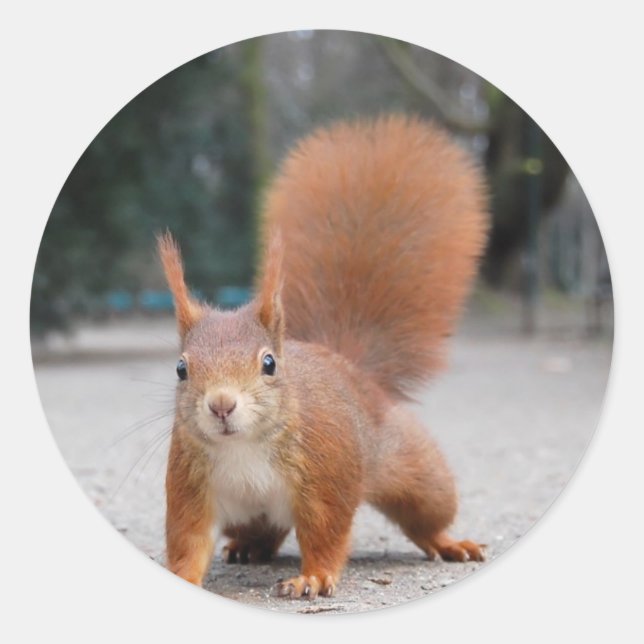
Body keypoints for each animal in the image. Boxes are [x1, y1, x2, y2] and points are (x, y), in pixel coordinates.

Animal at [158, 114, 489, 599]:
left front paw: (312, 577)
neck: (244, 447)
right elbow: (189, 537)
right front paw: (180, 576)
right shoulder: (189, 484)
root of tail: (348, 366)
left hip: (416, 470)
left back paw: (449, 542)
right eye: (181, 368)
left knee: (427, 514)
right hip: (248, 514)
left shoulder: (326, 473)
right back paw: (248, 547)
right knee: (264, 529)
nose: (221, 404)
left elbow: (326, 532)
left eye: (269, 363)